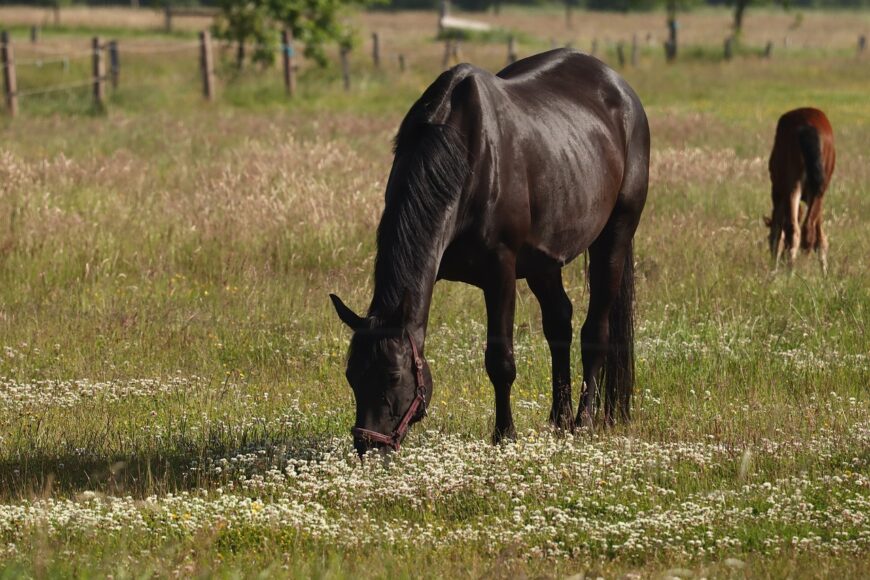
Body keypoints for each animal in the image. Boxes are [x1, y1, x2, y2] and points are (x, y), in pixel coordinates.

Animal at [330, 48, 652, 458]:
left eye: (392, 375)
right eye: (351, 375)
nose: (368, 447)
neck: (465, 159)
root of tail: (620, 87)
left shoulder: (500, 270)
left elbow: (500, 361)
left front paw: (504, 435)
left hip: (614, 236)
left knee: (595, 330)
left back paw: (582, 421)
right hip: (544, 261)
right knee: (559, 323)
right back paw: (559, 419)